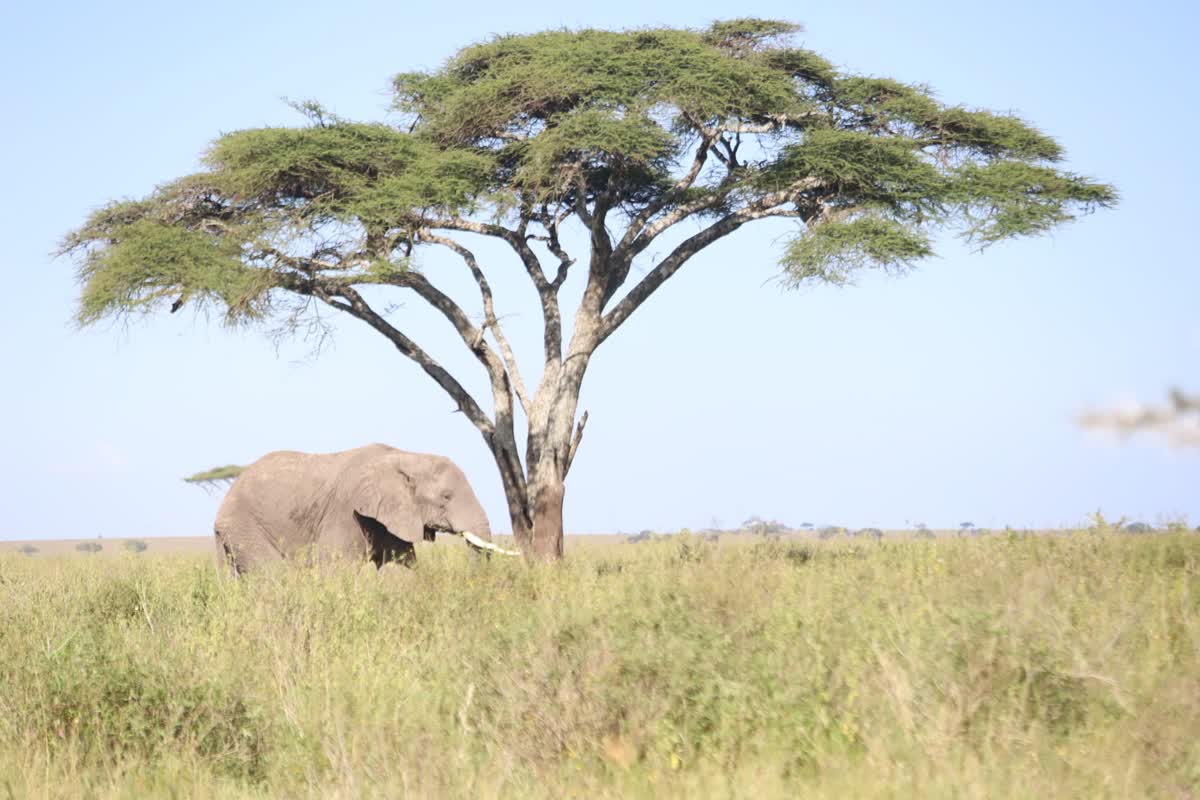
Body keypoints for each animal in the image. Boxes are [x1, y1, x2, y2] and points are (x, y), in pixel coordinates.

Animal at [213, 443, 519, 574]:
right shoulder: (347, 512)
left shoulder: (390, 517)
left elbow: (401, 569)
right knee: (273, 576)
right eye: (446, 497)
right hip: (246, 526)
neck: (406, 456)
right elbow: (335, 568)